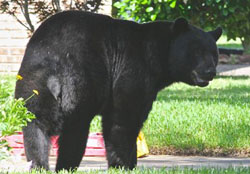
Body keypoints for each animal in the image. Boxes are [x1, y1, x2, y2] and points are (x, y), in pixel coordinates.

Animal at [14, 10, 222, 171]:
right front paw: (124, 165)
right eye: (196, 51)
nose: (210, 72)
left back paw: (39, 165)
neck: (157, 55)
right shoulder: (132, 70)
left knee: (36, 126)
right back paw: (67, 166)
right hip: (83, 80)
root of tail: (54, 65)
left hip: (33, 82)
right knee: (76, 129)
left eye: (214, 53)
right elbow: (123, 118)